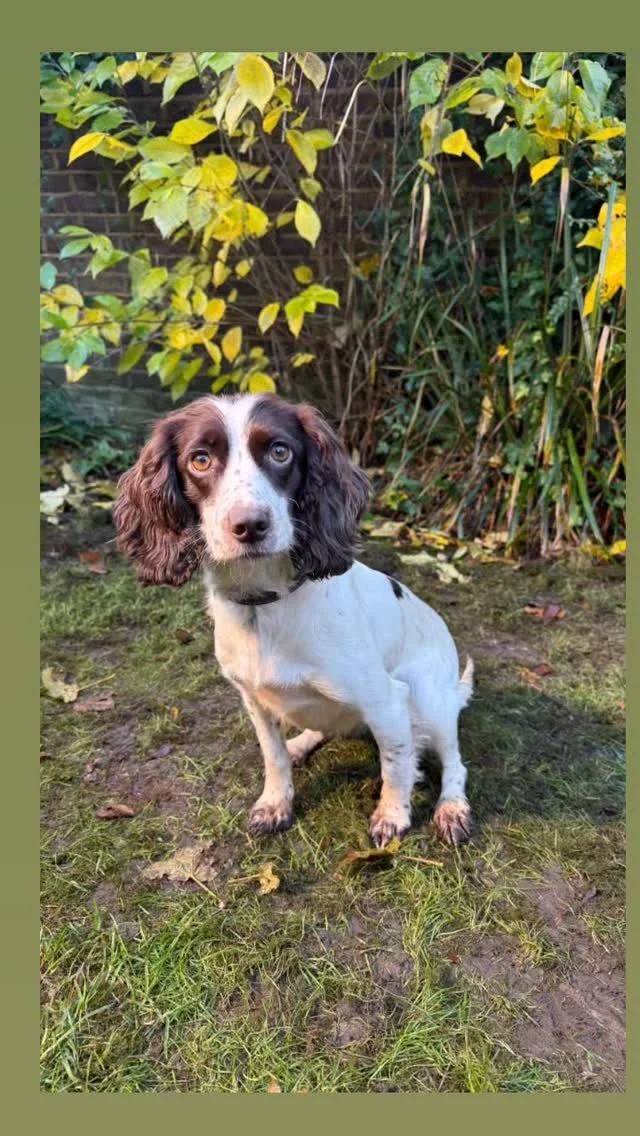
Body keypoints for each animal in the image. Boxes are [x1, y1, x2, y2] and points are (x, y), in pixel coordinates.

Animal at [114, 393, 474, 847]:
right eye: (200, 459)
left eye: (280, 451)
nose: (250, 525)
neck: (263, 605)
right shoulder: (253, 699)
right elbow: (274, 757)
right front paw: (276, 803)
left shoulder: (387, 700)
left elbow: (395, 764)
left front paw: (393, 815)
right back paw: (302, 743)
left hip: (428, 698)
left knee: (454, 761)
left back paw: (452, 808)